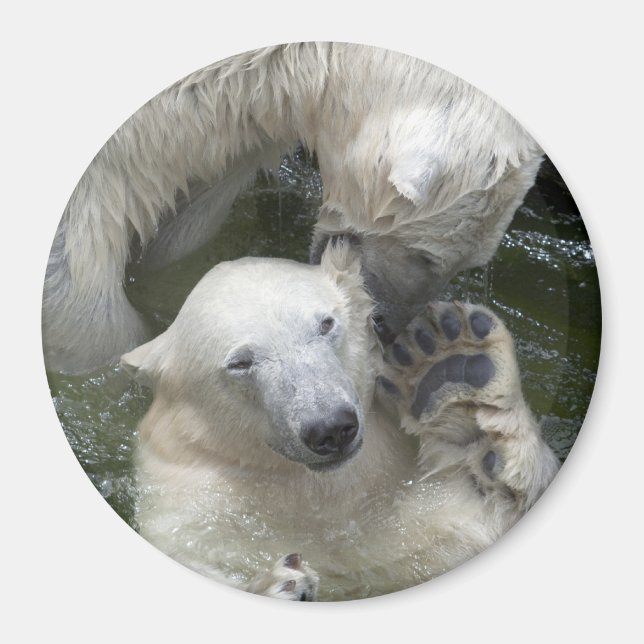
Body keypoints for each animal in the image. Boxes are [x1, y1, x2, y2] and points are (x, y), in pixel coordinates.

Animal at [120, 241, 559, 601]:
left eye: (326, 323)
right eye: (240, 362)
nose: (330, 427)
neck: (323, 492)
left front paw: (457, 373)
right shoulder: (193, 511)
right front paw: (283, 583)